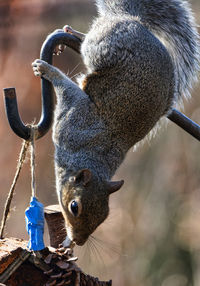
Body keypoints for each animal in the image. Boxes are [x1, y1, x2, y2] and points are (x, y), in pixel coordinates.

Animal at [32, 0, 199, 246]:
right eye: (74, 207)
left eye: (105, 216)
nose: (79, 241)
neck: (91, 155)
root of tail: (133, 20)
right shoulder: (73, 119)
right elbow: (65, 88)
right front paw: (47, 70)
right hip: (101, 47)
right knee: (90, 41)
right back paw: (72, 33)